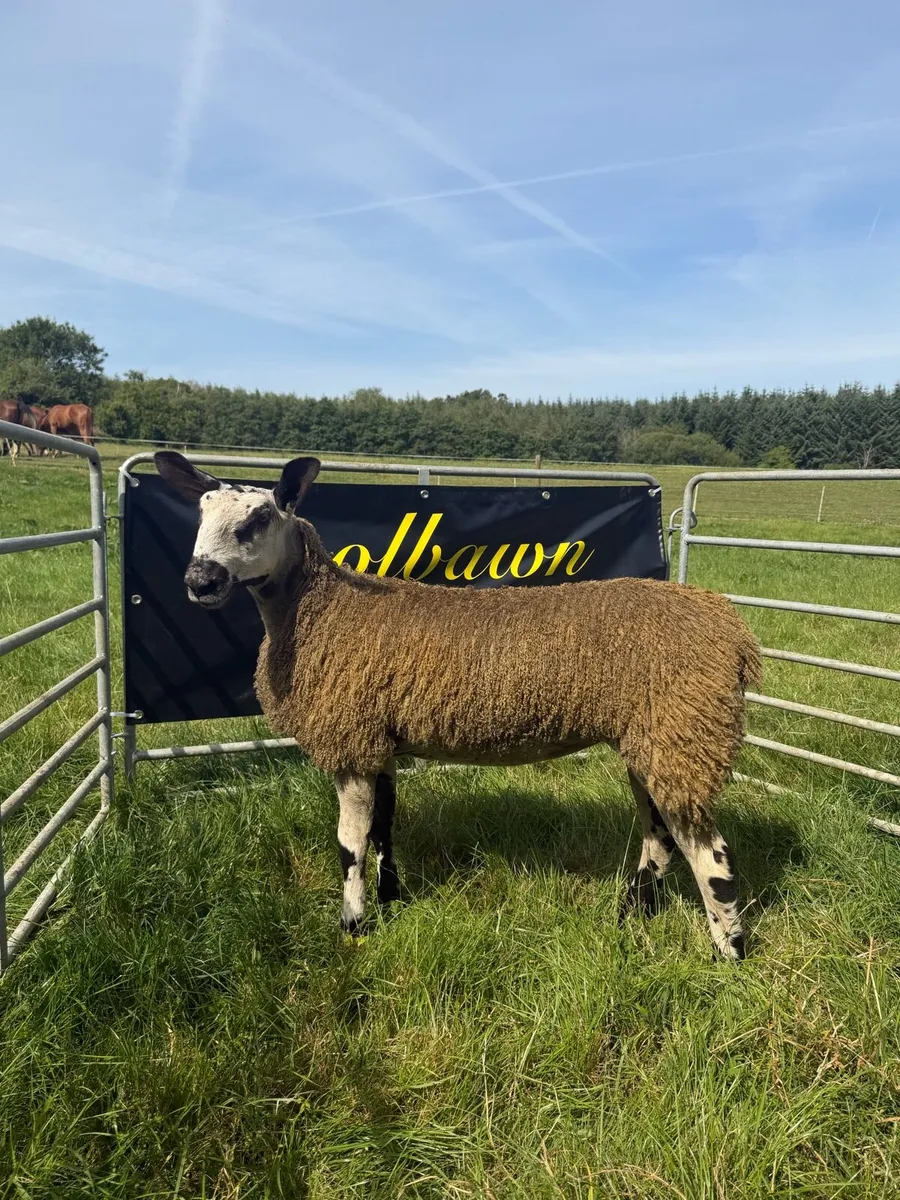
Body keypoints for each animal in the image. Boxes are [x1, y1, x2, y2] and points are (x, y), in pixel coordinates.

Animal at [155, 451, 763, 960]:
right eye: (199, 515)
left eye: (259, 518)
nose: (199, 580)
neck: (322, 611)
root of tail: (734, 633)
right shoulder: (380, 741)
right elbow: (384, 827)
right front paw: (391, 898)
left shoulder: (351, 739)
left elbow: (349, 845)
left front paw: (352, 928)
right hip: (654, 738)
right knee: (659, 835)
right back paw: (630, 913)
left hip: (684, 730)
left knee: (711, 854)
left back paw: (729, 953)